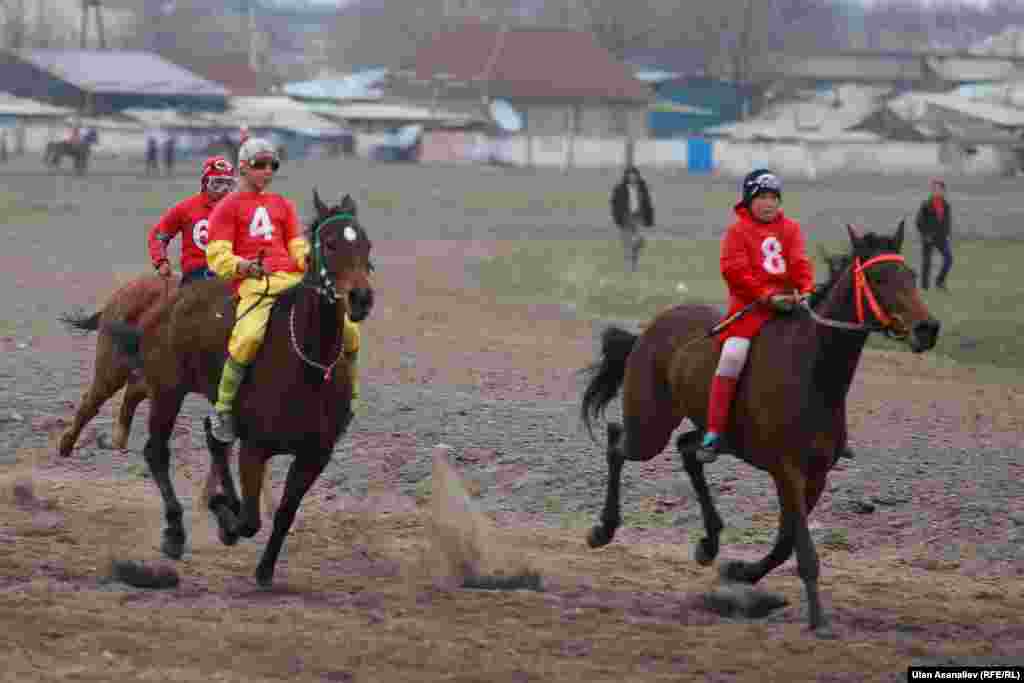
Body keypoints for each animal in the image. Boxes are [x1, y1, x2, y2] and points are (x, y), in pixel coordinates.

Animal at [106, 190, 374, 587]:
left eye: (366, 243)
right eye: (329, 243)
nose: (361, 298)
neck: (308, 364)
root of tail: (169, 301)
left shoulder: (315, 455)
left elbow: (283, 513)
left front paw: (264, 569)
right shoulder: (255, 449)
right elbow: (250, 520)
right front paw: (224, 517)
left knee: (214, 438)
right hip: (168, 390)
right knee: (157, 452)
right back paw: (175, 531)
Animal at [579, 221, 940, 636]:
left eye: (911, 275)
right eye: (879, 278)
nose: (928, 328)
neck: (814, 371)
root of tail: (650, 329)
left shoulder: (815, 475)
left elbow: (786, 542)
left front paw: (741, 571)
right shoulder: (788, 471)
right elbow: (803, 549)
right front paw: (818, 620)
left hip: (712, 432)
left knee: (688, 450)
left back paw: (709, 542)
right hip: (649, 427)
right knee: (617, 441)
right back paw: (603, 529)